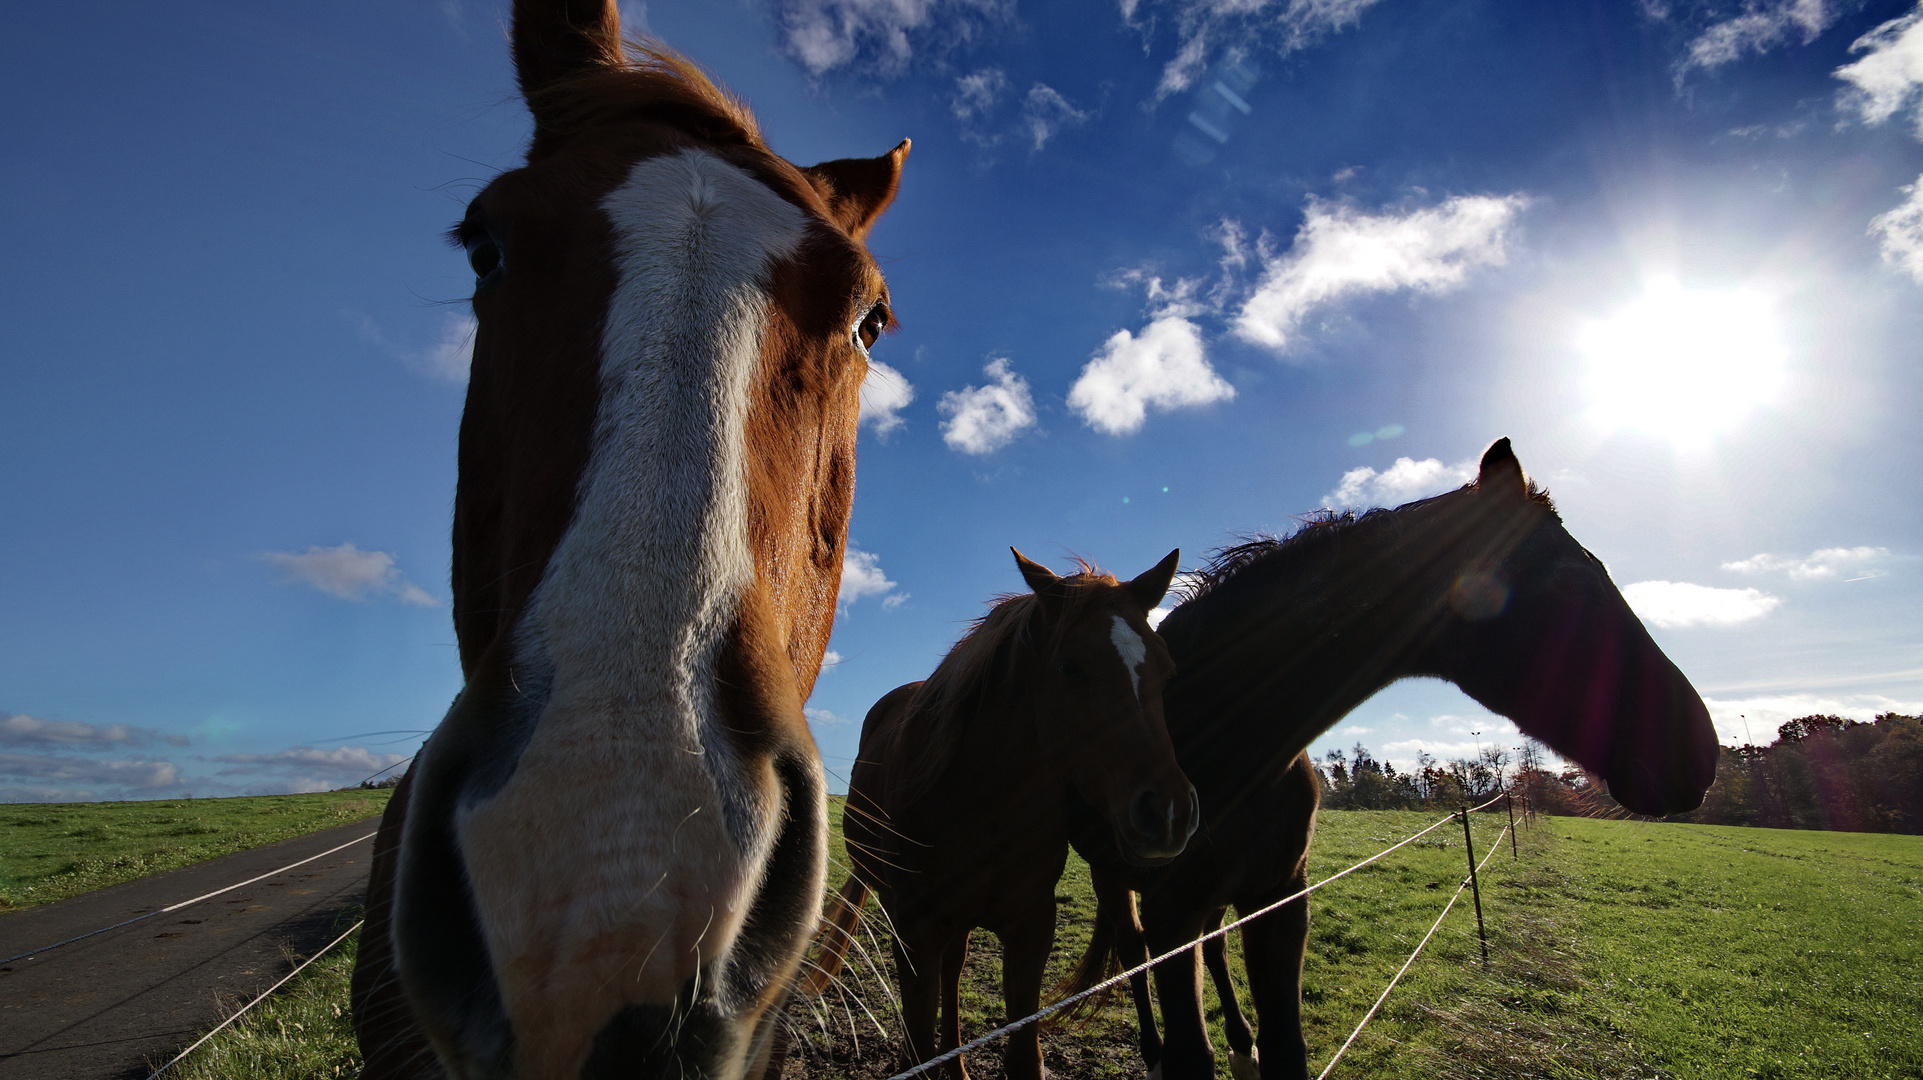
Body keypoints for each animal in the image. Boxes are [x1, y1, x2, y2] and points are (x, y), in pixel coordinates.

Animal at [811, 549, 1199, 1068]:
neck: (980, 804)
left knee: (954, 975)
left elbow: (1023, 1056)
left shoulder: (1030, 931)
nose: (1169, 813)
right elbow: (917, 1050)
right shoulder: (914, 935)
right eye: (1070, 667)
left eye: (1166, 669)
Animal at [1069, 440, 1715, 1076]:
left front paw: (1253, 1046)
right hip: (1118, 881)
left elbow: (1286, 1048)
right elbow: (1188, 1050)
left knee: (1215, 945)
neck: (1225, 733)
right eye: (1573, 586)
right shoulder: (1171, 909)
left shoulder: (1279, 897)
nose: (1699, 756)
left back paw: (1240, 1043)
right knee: (1131, 948)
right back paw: (1158, 1055)